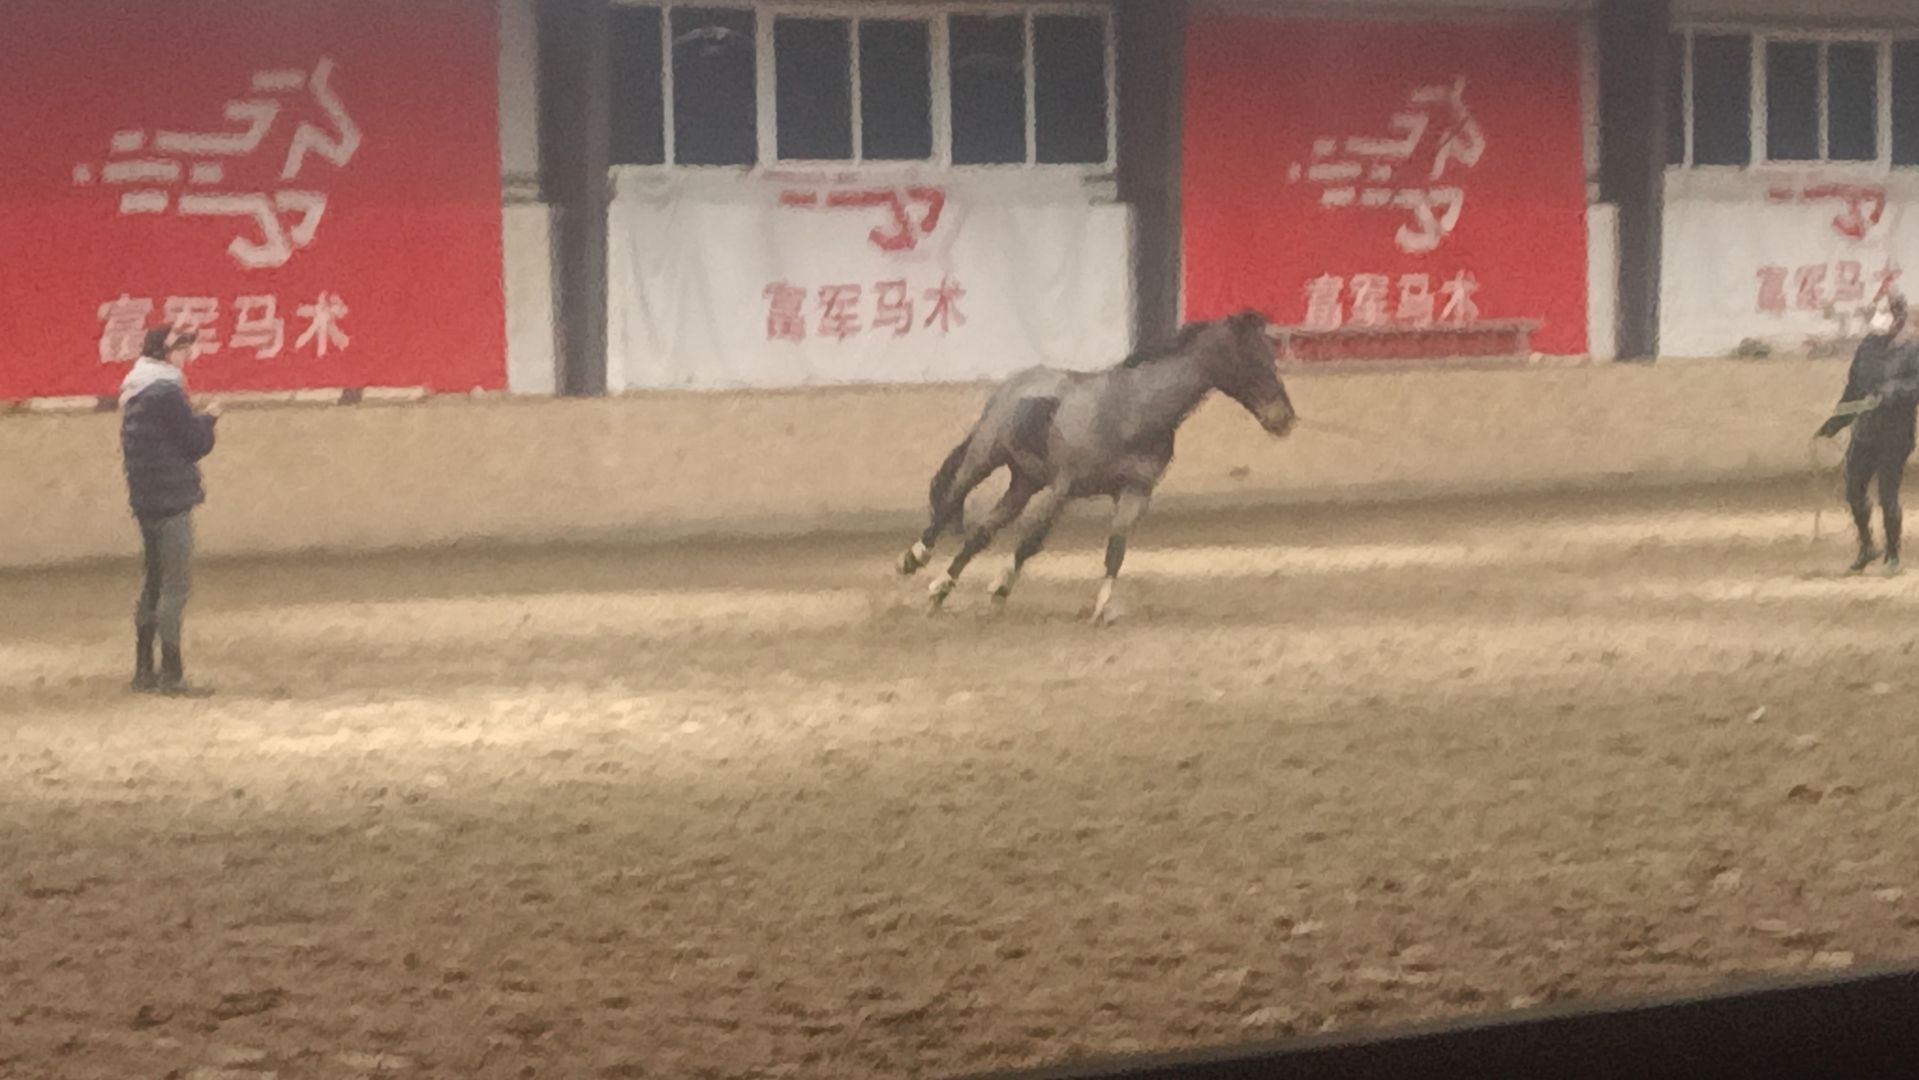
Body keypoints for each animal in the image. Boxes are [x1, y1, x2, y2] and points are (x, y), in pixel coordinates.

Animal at [897, 308, 1297, 623]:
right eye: (1252, 359)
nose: (1284, 419)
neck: (1133, 412)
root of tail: (1014, 384)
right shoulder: (1064, 487)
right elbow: (1030, 542)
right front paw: (999, 589)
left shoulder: (1135, 492)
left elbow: (1116, 550)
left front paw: (1102, 608)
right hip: (985, 455)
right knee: (950, 501)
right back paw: (913, 559)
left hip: (1024, 481)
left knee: (982, 532)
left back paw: (941, 590)